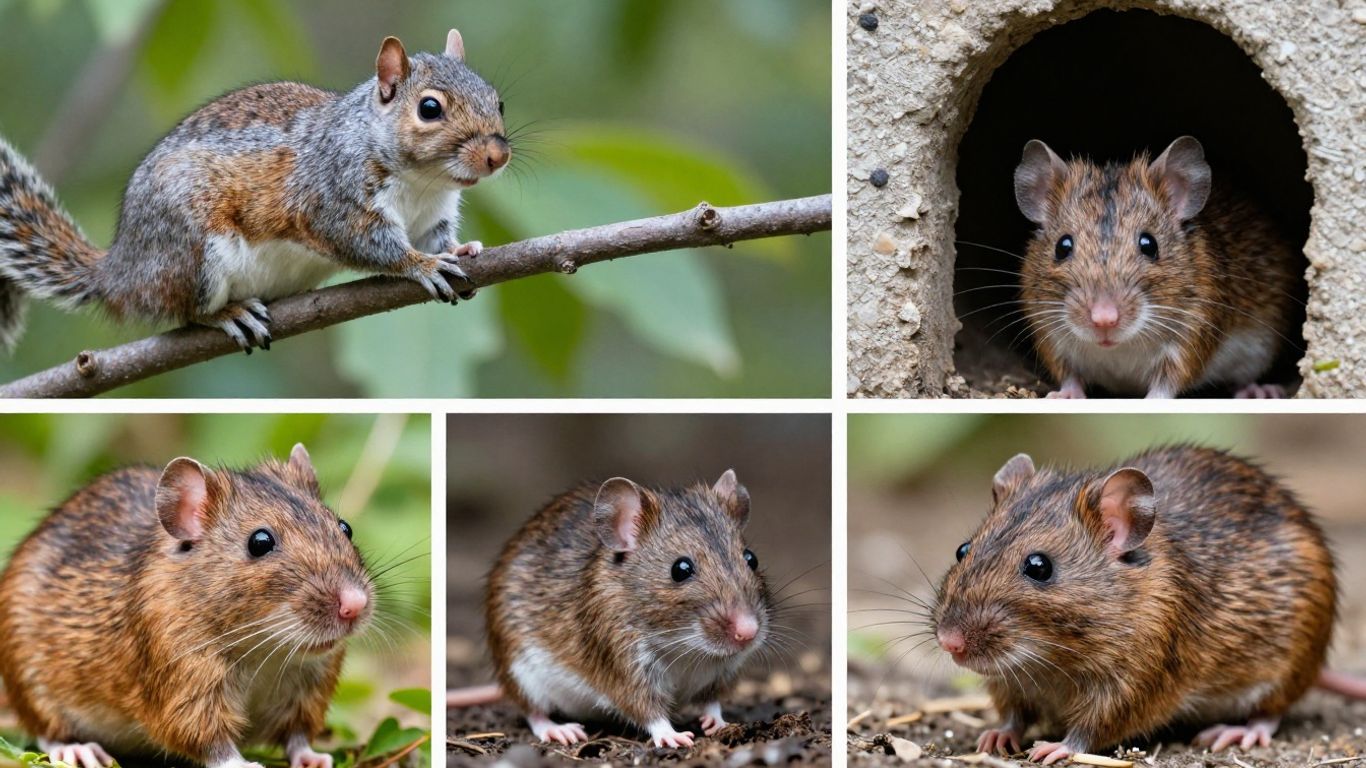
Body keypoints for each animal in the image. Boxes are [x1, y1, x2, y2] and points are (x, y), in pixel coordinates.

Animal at [0, 29, 508, 353]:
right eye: (429, 109)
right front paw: (422, 265)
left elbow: (436, 237)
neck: (422, 183)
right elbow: (372, 244)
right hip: (192, 252)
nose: (496, 156)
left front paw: (461, 249)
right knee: (185, 310)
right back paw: (226, 314)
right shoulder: (331, 196)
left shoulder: (433, 215)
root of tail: (121, 272)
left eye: (497, 100)